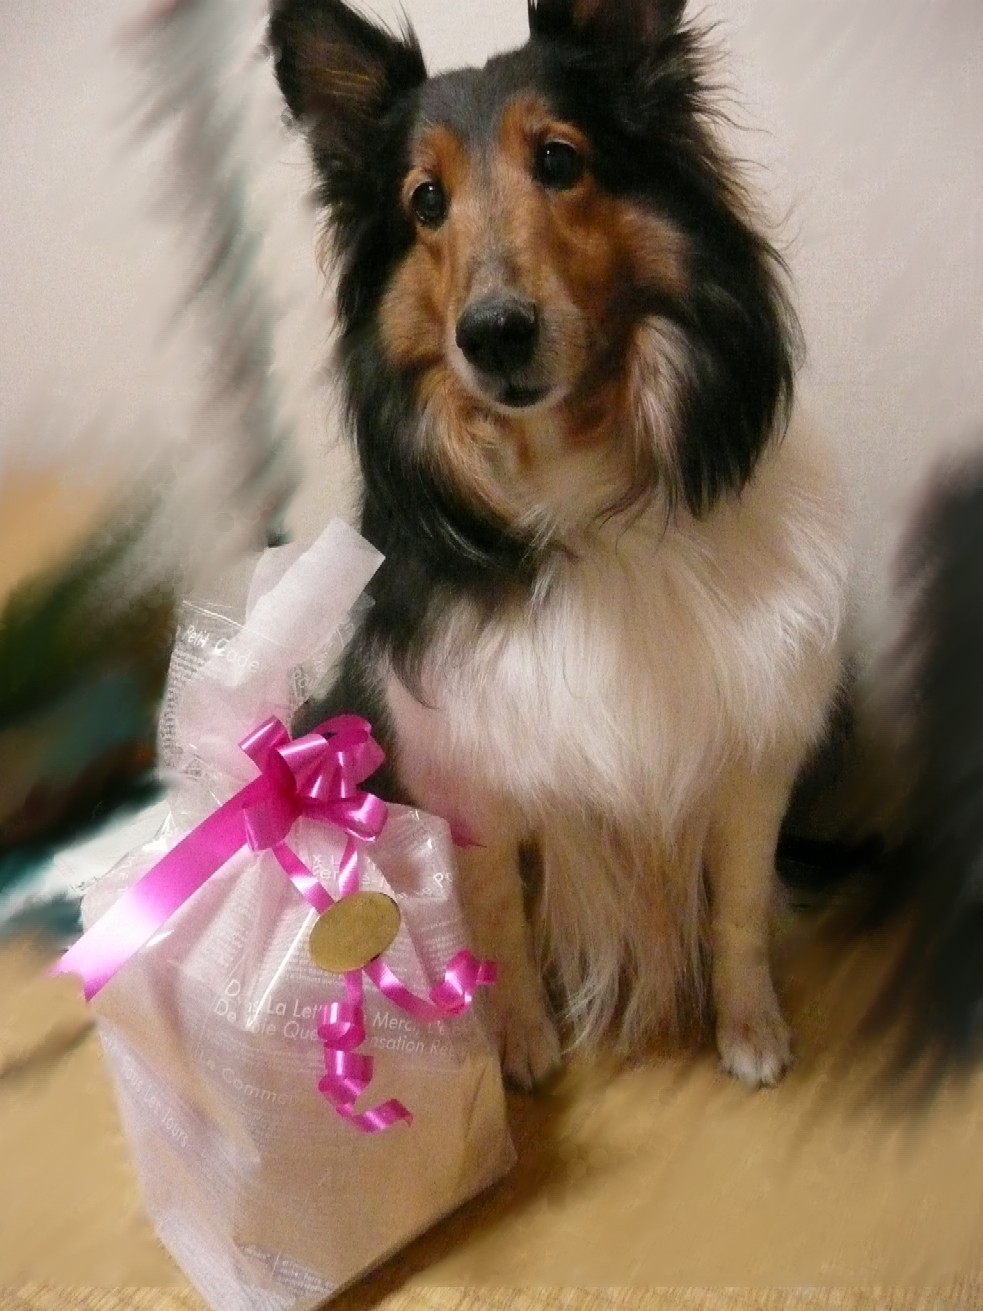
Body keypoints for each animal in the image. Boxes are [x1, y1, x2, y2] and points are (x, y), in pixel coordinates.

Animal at [269, 0, 848, 1089]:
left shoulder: (752, 752)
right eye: (423, 201)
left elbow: (738, 906)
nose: (493, 335)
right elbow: (493, 911)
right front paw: (519, 1045)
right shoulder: (470, 773)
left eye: (557, 159)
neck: (574, 487)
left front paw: (750, 1029)